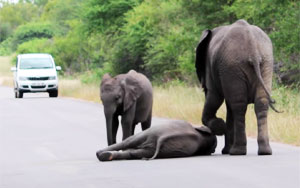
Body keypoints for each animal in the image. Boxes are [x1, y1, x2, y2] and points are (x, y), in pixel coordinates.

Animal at [96, 119, 225, 161]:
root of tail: (161, 138)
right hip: (159, 147)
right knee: (134, 152)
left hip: (152, 133)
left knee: (129, 142)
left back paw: (100, 154)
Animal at [196, 19, 278, 156]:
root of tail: (252, 49)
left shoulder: (210, 67)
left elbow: (215, 98)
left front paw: (220, 127)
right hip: (264, 63)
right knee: (260, 103)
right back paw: (264, 151)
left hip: (232, 66)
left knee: (238, 107)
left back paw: (236, 152)